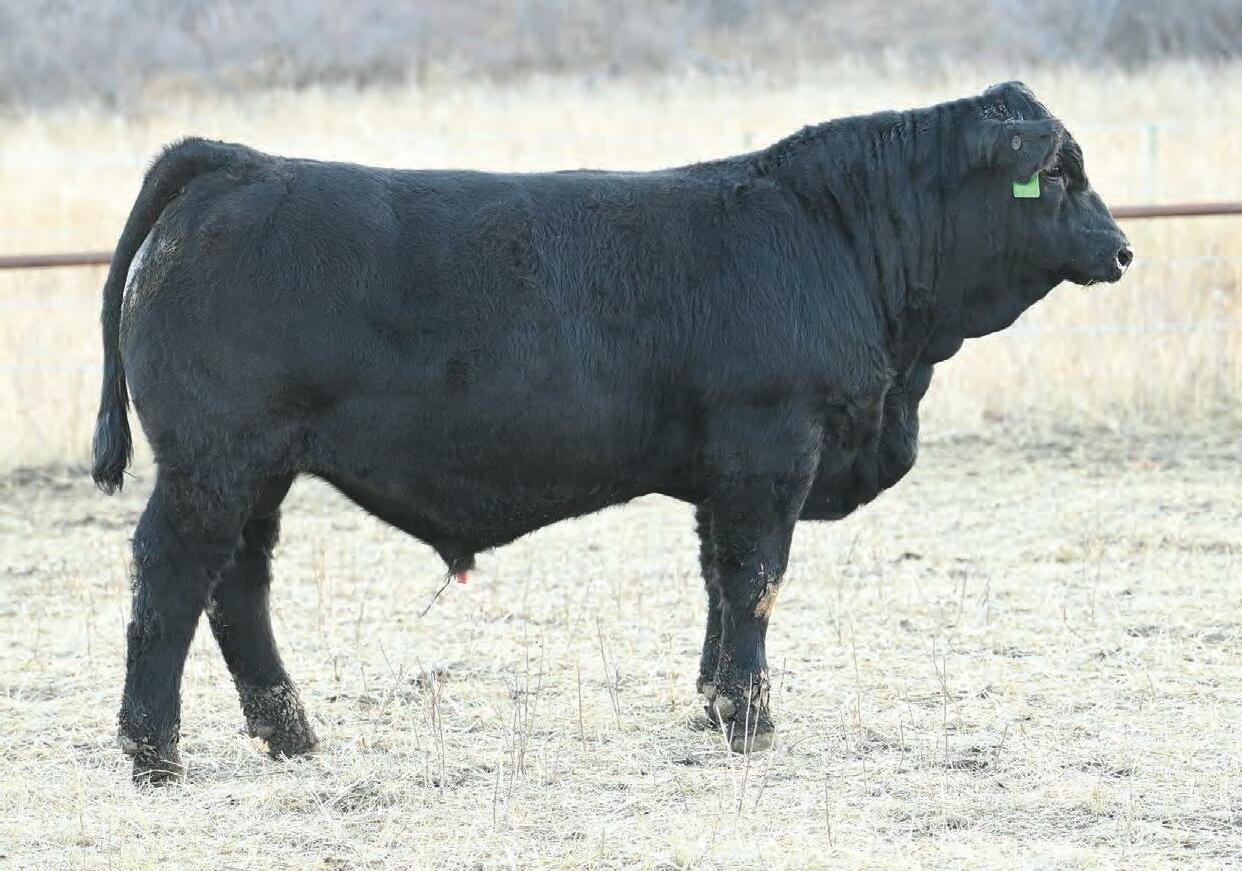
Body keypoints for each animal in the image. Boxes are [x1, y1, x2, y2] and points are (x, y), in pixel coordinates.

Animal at [92, 81, 1131, 783]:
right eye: (1060, 172)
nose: (1121, 248)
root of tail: (240, 163)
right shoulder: (770, 449)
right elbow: (756, 580)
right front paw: (752, 721)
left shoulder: (724, 471)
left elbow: (719, 581)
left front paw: (714, 705)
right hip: (211, 463)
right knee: (171, 576)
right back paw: (154, 753)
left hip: (256, 471)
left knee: (238, 585)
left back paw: (291, 735)